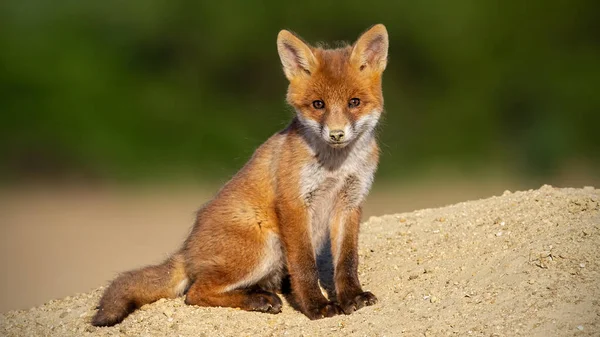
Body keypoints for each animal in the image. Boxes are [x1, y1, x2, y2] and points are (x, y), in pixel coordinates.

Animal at [91, 23, 390, 326]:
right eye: (318, 105)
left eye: (354, 102)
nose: (337, 134)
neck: (336, 167)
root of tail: (186, 250)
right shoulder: (294, 203)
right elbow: (305, 266)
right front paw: (316, 306)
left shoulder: (350, 202)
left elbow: (347, 261)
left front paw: (353, 297)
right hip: (263, 249)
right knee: (195, 293)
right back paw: (258, 300)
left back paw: (260, 295)